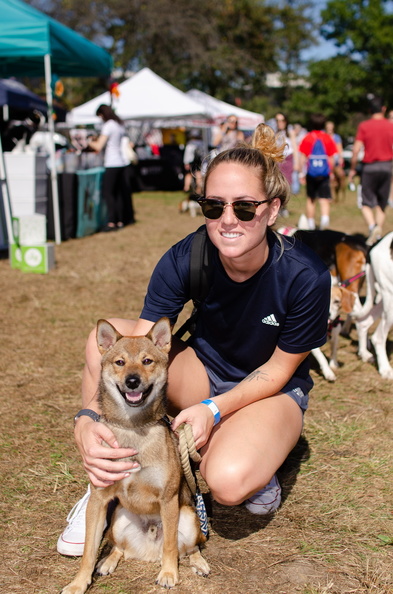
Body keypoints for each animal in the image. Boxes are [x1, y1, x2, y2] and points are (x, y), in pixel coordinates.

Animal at [62, 316, 208, 588]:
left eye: (147, 361)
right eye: (120, 362)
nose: (132, 381)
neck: (133, 428)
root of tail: (149, 551)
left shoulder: (169, 499)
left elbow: (170, 545)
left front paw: (169, 573)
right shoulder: (99, 500)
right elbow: (88, 551)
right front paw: (79, 583)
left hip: (189, 517)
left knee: (188, 548)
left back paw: (198, 563)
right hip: (118, 518)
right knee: (119, 548)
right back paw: (106, 563)